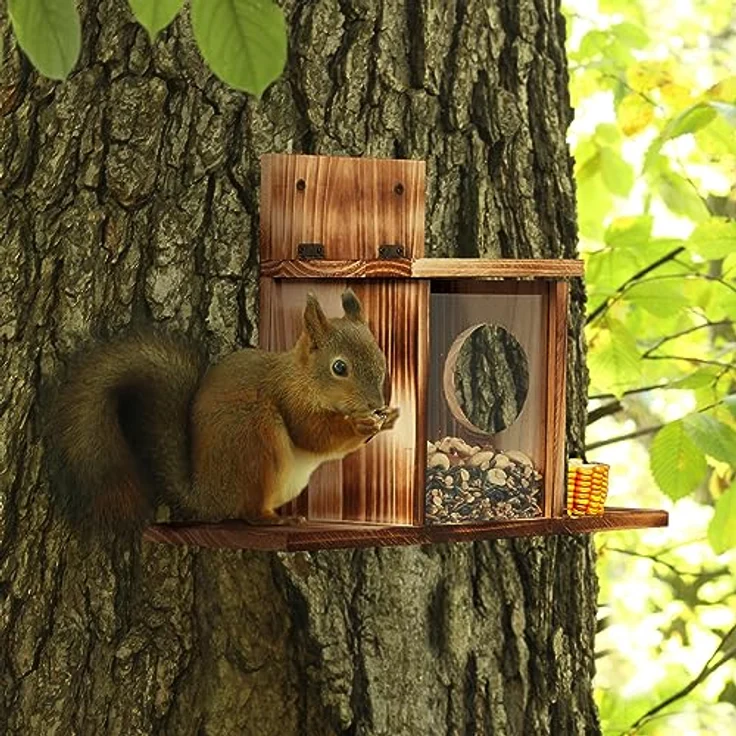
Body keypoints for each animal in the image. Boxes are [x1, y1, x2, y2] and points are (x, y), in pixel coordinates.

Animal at [46, 289, 399, 532]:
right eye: (339, 367)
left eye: (380, 355)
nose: (376, 405)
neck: (302, 377)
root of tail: (207, 498)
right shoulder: (289, 399)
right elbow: (314, 436)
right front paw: (360, 426)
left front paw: (388, 419)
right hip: (255, 440)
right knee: (248, 511)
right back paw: (275, 520)